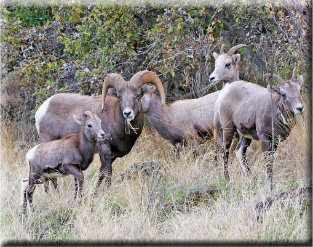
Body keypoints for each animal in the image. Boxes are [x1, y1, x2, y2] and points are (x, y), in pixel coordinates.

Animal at [34, 70, 166, 193]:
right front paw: (105, 192)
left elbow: (102, 172)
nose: (127, 113)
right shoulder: (105, 150)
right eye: (119, 97)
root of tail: (41, 110)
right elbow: (108, 172)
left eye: (138, 95)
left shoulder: (112, 155)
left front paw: (96, 193)